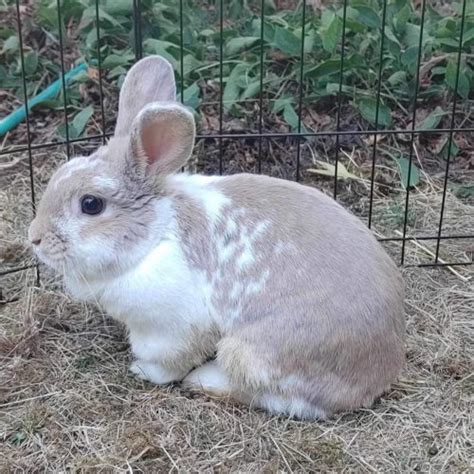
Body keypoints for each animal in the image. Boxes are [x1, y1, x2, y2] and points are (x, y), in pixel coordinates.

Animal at [28, 53, 404, 420]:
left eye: (91, 204)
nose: (35, 238)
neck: (154, 236)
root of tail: (373, 380)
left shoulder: (173, 327)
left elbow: (169, 361)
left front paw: (143, 370)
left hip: (251, 354)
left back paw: (204, 380)